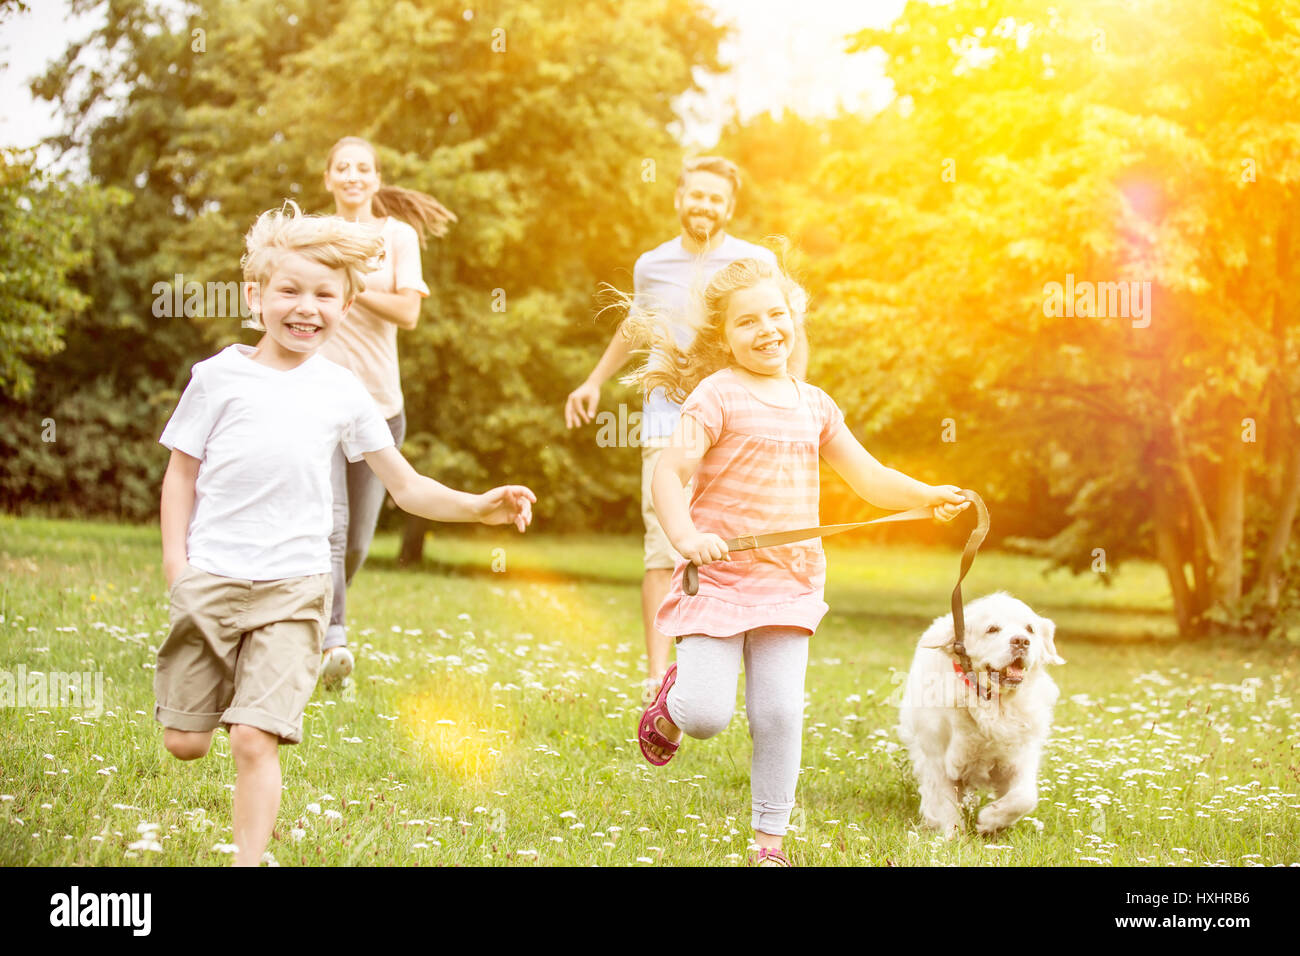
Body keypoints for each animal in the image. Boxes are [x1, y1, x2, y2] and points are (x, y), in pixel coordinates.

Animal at [894, 590, 1066, 837]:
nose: (1021, 641)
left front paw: (990, 819)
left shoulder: (1020, 756)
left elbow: (1025, 797)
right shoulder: (939, 759)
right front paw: (953, 836)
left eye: (1030, 629)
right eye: (992, 629)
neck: (993, 702)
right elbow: (946, 803)